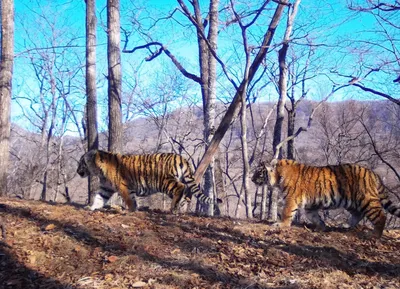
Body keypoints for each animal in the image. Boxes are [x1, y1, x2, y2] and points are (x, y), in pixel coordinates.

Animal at [77, 150, 222, 213]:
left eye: (81, 162)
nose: (77, 171)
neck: (99, 171)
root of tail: (181, 157)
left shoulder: (123, 186)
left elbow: (129, 200)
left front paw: (130, 211)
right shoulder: (106, 188)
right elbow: (99, 198)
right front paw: (91, 207)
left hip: (164, 182)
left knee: (181, 187)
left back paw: (173, 208)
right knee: (186, 193)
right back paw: (179, 207)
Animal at [252, 159, 400, 237]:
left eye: (259, 172)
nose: (252, 179)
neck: (278, 175)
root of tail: (373, 173)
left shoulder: (291, 199)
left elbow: (286, 213)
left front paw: (281, 224)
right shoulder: (309, 205)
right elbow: (314, 216)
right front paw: (321, 227)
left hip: (366, 200)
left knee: (381, 216)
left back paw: (374, 235)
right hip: (352, 202)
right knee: (358, 214)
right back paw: (346, 226)